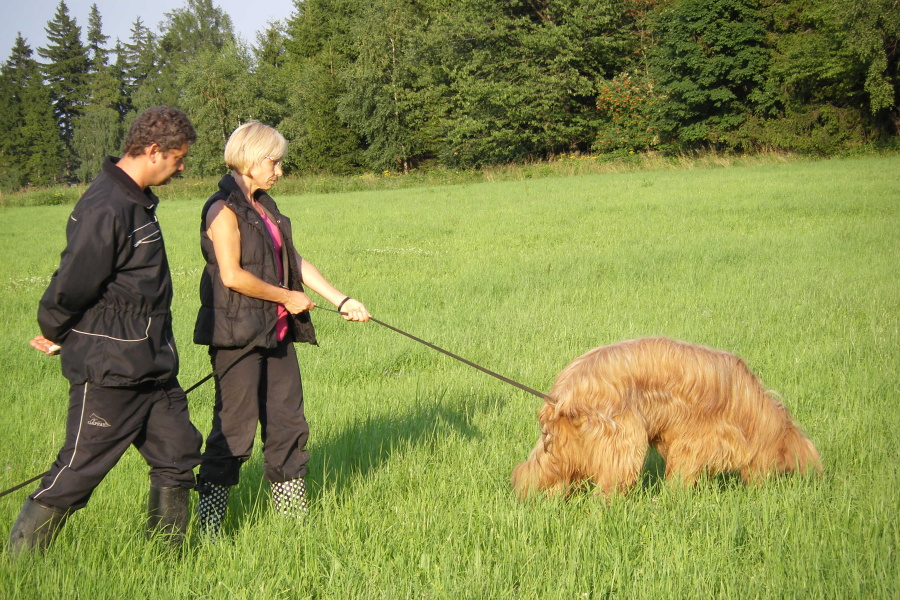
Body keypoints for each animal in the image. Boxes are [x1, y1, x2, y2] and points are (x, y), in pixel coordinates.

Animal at [510, 338, 820, 496]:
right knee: (608, 487)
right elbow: (683, 472)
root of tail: (563, 392)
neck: (748, 410)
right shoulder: (694, 439)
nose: (765, 490)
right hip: (623, 439)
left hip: (562, 448)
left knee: (537, 473)